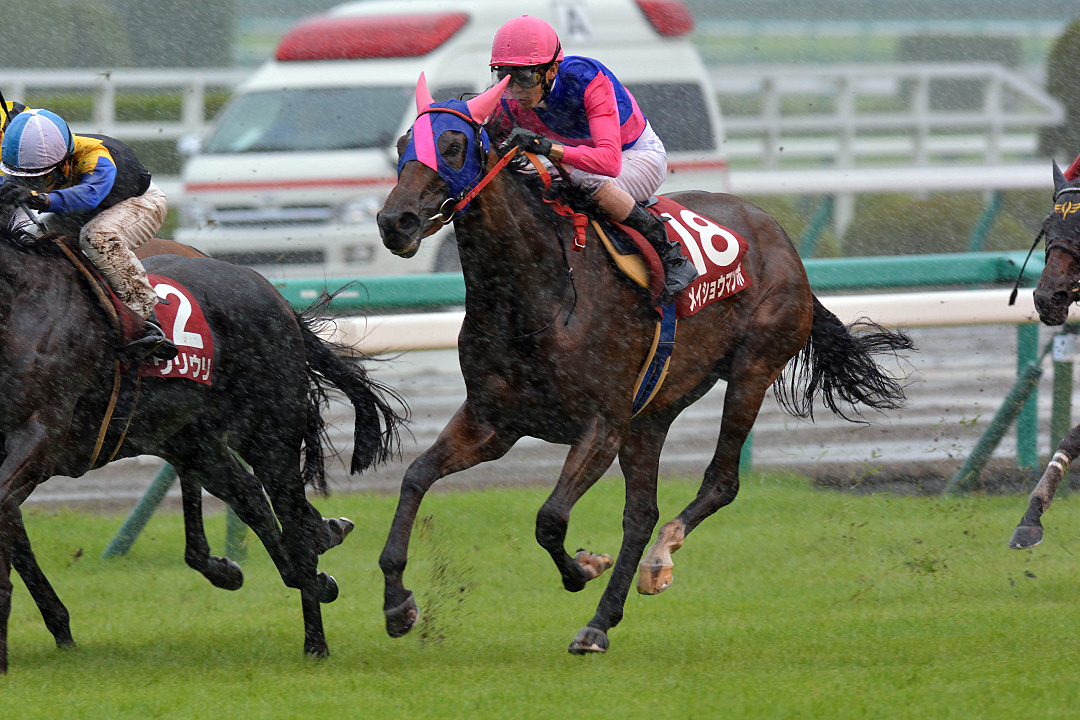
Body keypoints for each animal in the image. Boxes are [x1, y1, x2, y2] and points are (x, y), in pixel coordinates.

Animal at [0, 205, 406, 673]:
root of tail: (266, 288)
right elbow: (16, 541)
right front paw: (55, 628)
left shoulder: (40, 436)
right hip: (189, 436)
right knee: (249, 494)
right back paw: (313, 554)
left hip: (267, 432)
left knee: (285, 514)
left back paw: (315, 637)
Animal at [375, 77, 907, 651]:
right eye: (403, 144)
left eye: (452, 146)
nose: (394, 222)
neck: (538, 296)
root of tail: (779, 236)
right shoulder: (492, 422)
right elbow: (415, 478)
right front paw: (397, 604)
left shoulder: (602, 423)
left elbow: (550, 518)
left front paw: (584, 567)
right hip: (652, 413)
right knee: (642, 513)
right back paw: (601, 621)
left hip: (752, 370)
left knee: (719, 483)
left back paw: (657, 562)